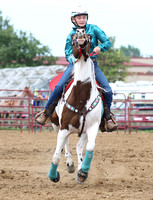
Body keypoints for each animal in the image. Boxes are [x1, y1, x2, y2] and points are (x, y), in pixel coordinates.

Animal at [49, 28, 104, 184]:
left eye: (89, 36)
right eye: (73, 36)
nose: (80, 32)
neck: (81, 99)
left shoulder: (92, 127)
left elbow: (90, 147)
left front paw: (83, 172)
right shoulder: (63, 127)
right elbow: (56, 155)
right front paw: (53, 175)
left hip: (83, 131)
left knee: (79, 146)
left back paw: (79, 168)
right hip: (57, 125)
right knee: (65, 145)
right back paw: (70, 164)